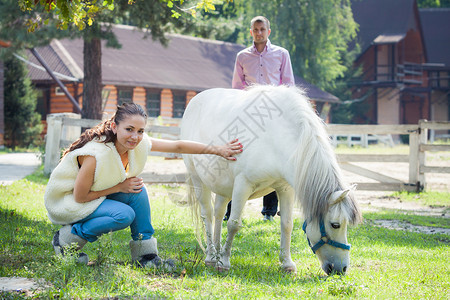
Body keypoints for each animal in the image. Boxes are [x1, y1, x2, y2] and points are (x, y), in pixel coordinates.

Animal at [180, 85, 362, 274]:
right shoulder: (242, 185)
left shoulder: (285, 188)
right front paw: (225, 262)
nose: (341, 268)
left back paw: (216, 252)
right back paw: (211, 257)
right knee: (207, 215)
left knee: (218, 214)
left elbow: (287, 224)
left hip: (223, 187)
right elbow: (234, 224)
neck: (276, 138)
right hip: (198, 179)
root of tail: (195, 101)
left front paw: (287, 263)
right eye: (335, 224)